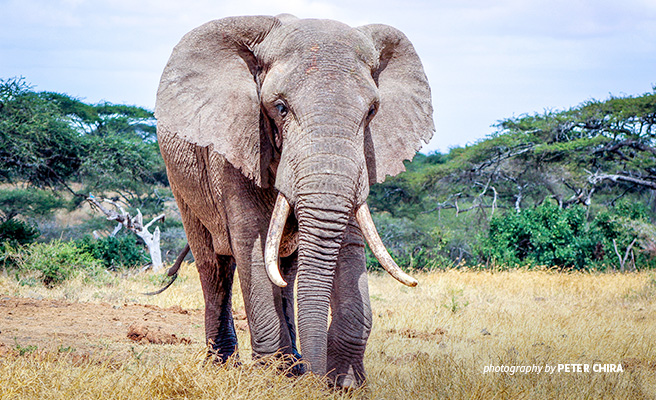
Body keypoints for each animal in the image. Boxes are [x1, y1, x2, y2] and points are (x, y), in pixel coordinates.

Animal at [155, 14, 434, 387]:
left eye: (372, 112)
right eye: (281, 108)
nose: (317, 381)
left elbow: (347, 243)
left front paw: (344, 383)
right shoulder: (238, 144)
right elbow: (254, 244)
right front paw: (271, 379)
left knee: (286, 271)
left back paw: (294, 364)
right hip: (181, 181)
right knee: (214, 266)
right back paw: (225, 365)